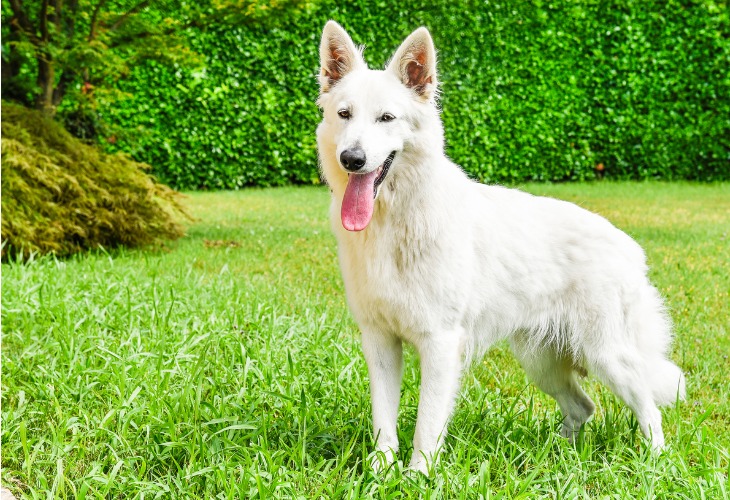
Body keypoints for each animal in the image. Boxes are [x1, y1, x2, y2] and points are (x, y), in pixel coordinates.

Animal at [316, 20, 684, 472]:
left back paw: (654, 464)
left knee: (650, 411)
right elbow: (383, 420)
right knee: (583, 407)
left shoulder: (440, 345)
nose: (352, 159)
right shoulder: (380, 343)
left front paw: (418, 476)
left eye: (387, 118)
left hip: (609, 358)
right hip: (541, 362)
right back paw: (557, 456)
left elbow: (426, 425)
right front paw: (381, 474)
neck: (396, 220)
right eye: (344, 114)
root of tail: (629, 248)